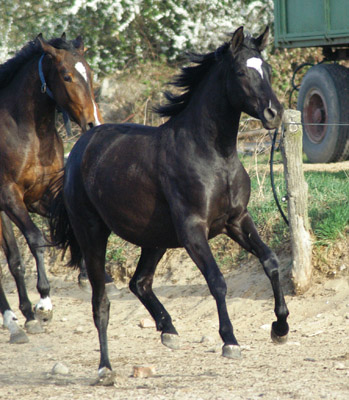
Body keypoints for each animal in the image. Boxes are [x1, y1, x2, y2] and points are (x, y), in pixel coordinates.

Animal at [0, 33, 102, 344]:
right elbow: (36, 239)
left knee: (12, 259)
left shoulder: (39, 196)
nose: (93, 123)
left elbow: (69, 222)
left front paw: (84, 277)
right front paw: (44, 302)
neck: (27, 131)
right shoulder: (10, 196)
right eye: (66, 76)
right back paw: (14, 320)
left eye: (90, 72)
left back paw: (21, 318)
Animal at [48, 26, 288, 382]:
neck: (214, 155)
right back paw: (106, 368)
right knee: (101, 302)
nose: (274, 114)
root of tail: (80, 147)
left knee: (139, 282)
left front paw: (280, 327)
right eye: (241, 72)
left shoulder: (236, 220)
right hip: (93, 235)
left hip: (155, 239)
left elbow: (270, 261)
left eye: (267, 70)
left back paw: (169, 331)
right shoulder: (193, 231)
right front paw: (230, 341)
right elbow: (216, 280)